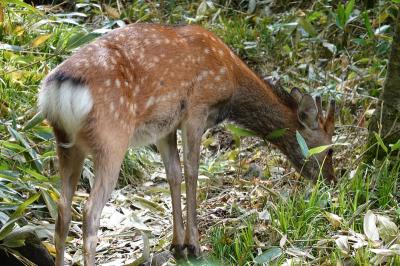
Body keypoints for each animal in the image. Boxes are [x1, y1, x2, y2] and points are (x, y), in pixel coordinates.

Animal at [39, 23, 336, 264]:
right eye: (330, 149)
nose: (331, 181)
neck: (231, 79)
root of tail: (57, 90)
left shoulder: (164, 126)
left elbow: (174, 174)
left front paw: (177, 245)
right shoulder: (196, 109)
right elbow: (193, 171)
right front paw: (194, 245)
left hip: (65, 142)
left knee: (62, 209)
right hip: (111, 138)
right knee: (89, 211)